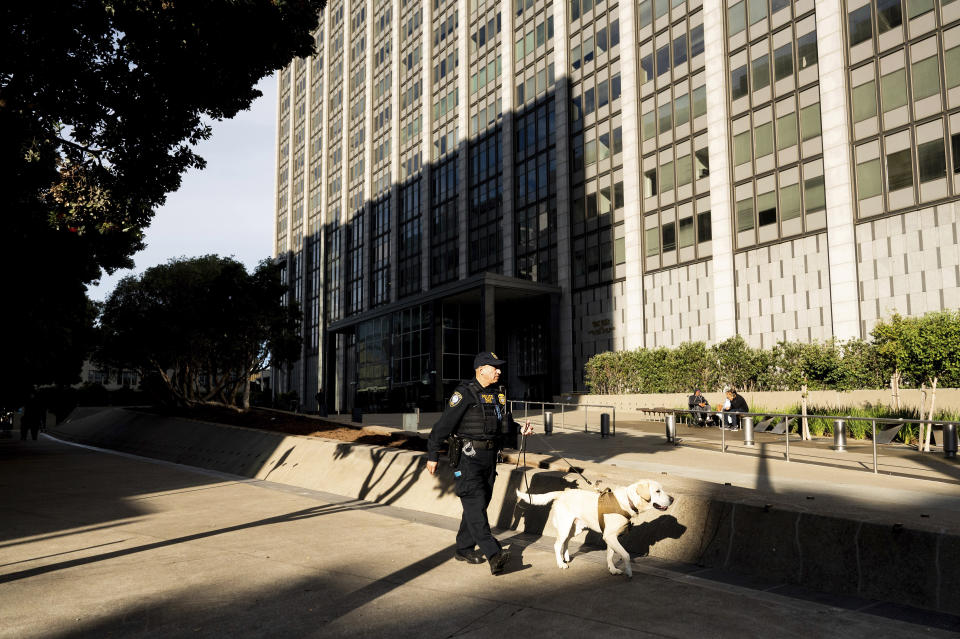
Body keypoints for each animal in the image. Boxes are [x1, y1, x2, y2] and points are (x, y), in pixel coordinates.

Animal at [516, 480, 676, 580]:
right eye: (657, 491)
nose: (673, 499)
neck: (629, 501)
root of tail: (562, 493)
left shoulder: (611, 536)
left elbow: (610, 555)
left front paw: (612, 569)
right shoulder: (610, 537)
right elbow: (625, 554)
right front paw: (629, 572)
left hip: (575, 528)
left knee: (565, 542)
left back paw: (566, 557)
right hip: (565, 526)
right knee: (557, 545)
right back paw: (561, 563)